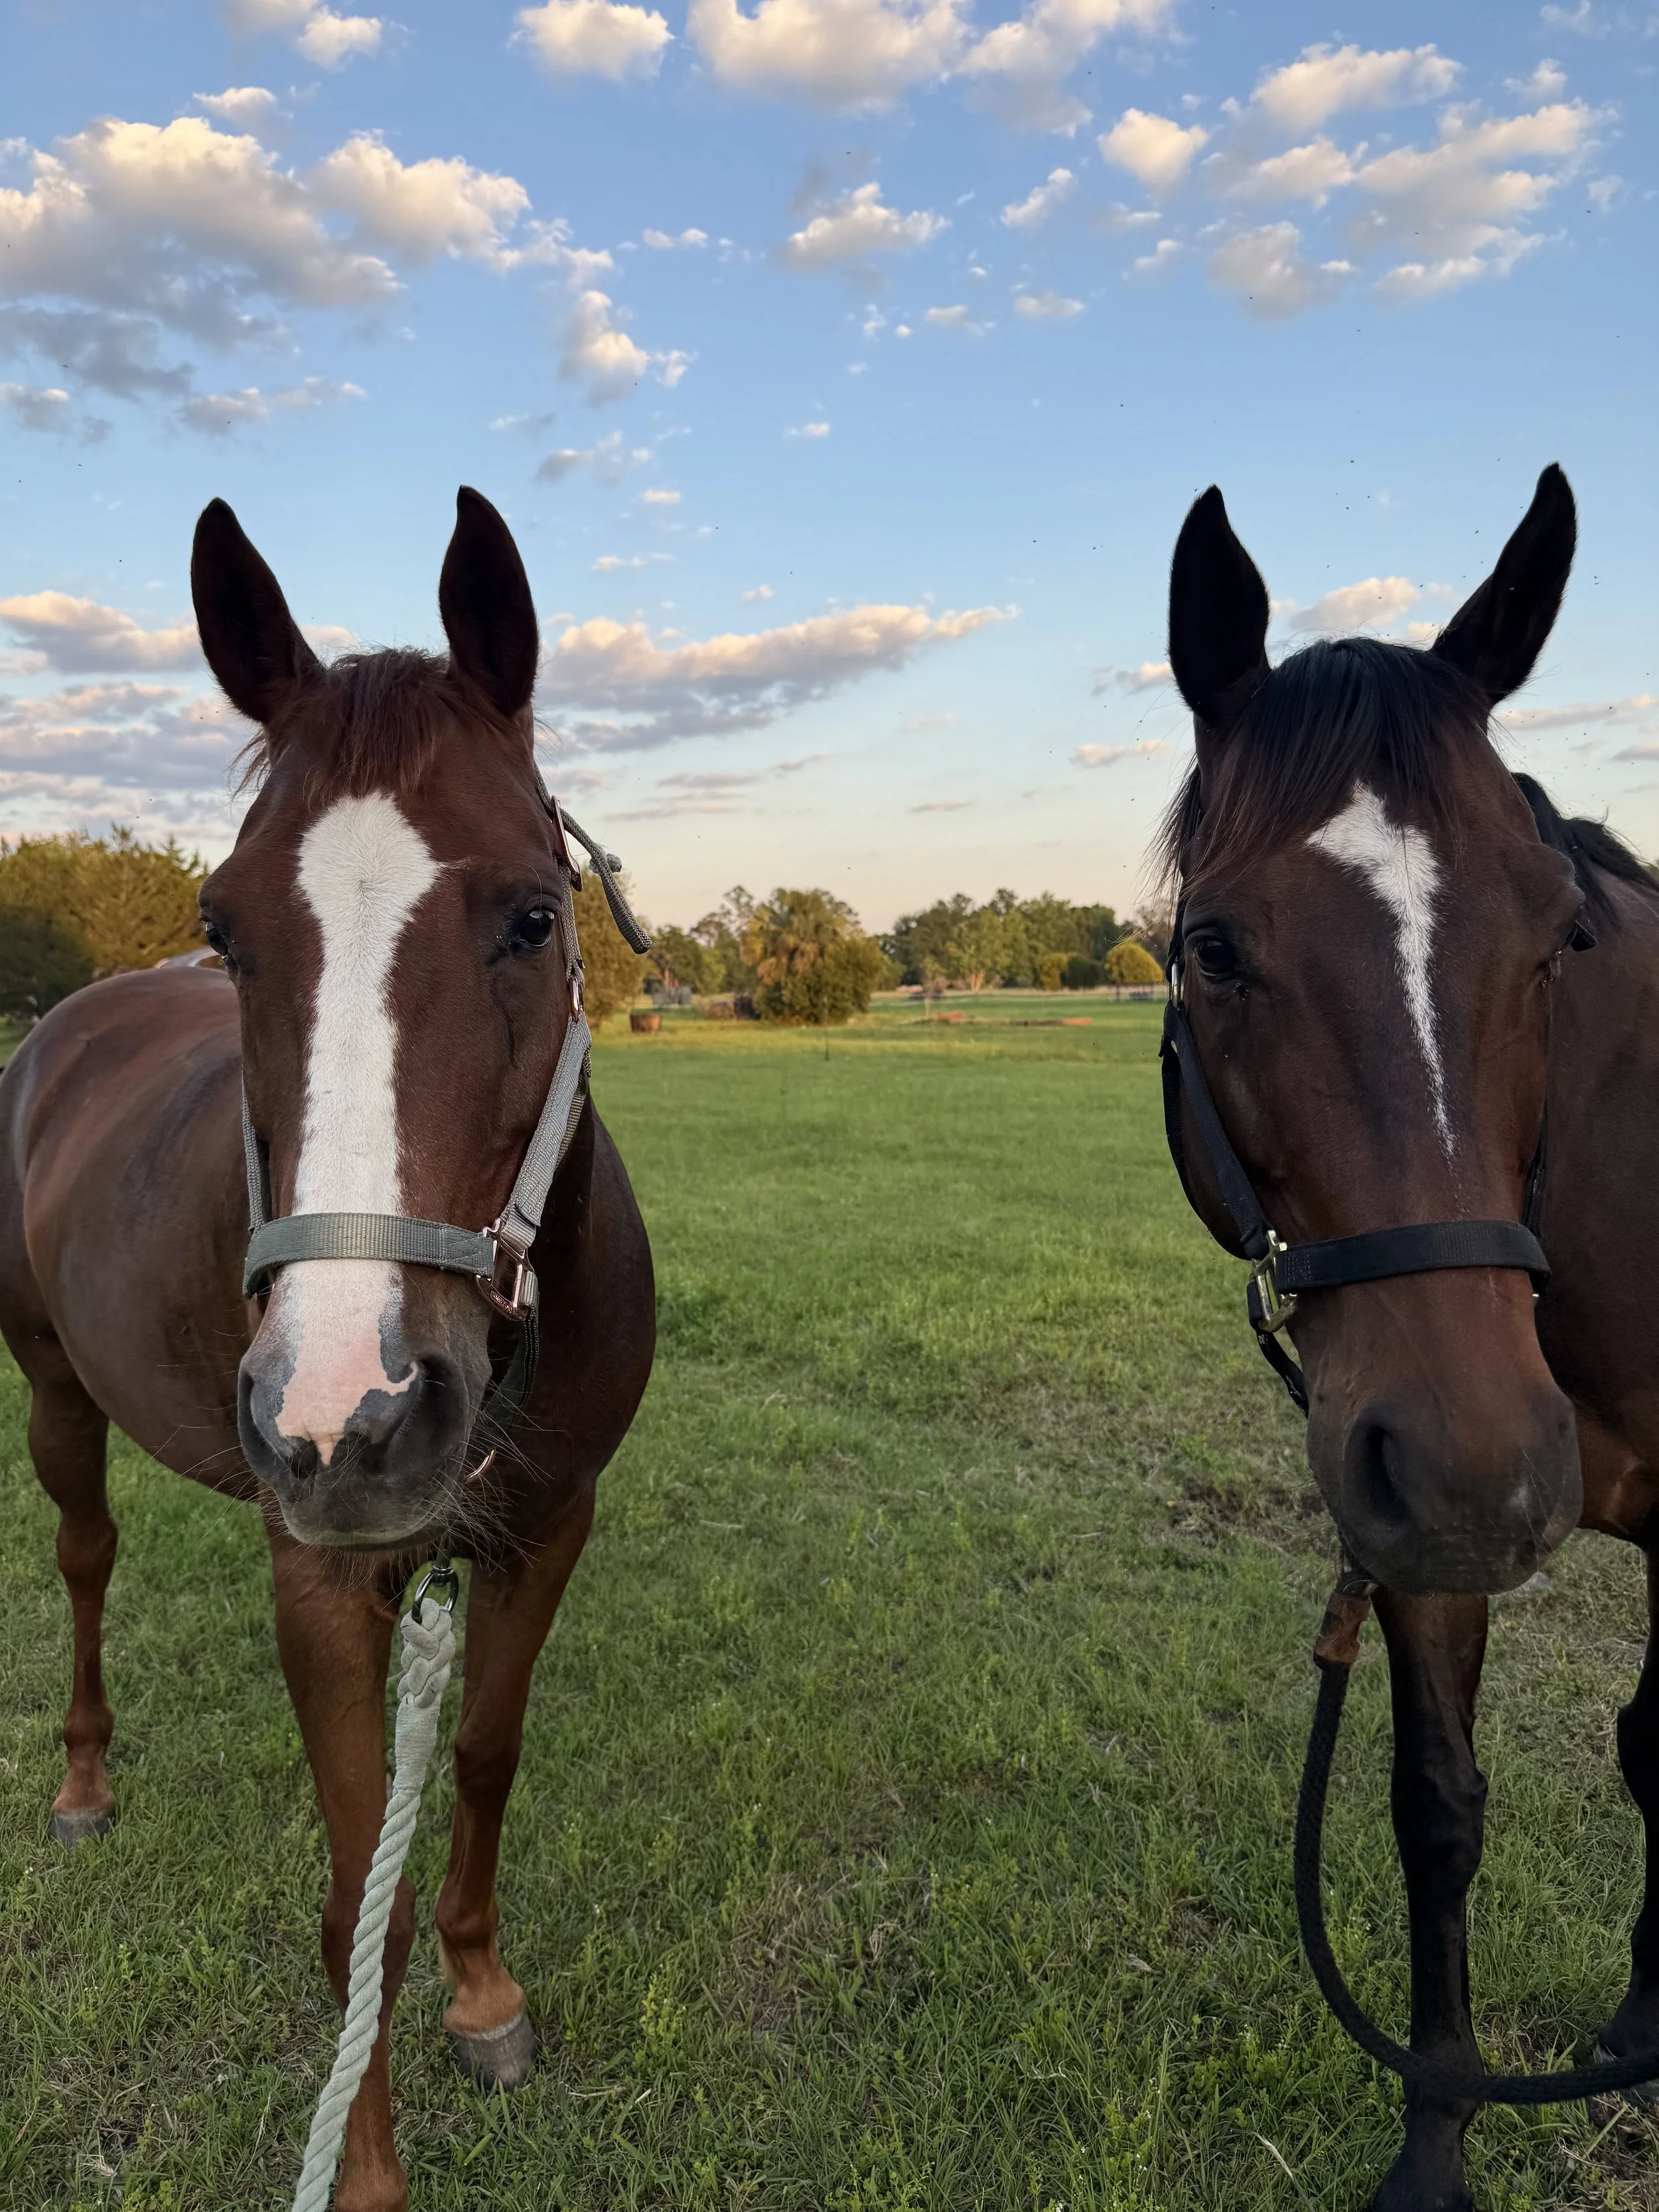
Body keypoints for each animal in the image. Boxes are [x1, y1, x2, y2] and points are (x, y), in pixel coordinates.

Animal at [0, 489, 656, 2211]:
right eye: (226, 929)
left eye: (534, 914)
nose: (343, 1416)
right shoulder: (321, 1568)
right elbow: (360, 1881)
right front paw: (362, 2166)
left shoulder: (547, 1526)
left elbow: (481, 1755)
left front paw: (482, 1992)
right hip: (53, 1393)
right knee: (84, 1559)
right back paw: (84, 1781)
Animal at [1158, 463, 1659, 2210]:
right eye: (1216, 946)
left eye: (1559, 933)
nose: (1481, 1471)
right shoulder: (1418, 1530)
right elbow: (1433, 1808)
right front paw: (1438, 2141)